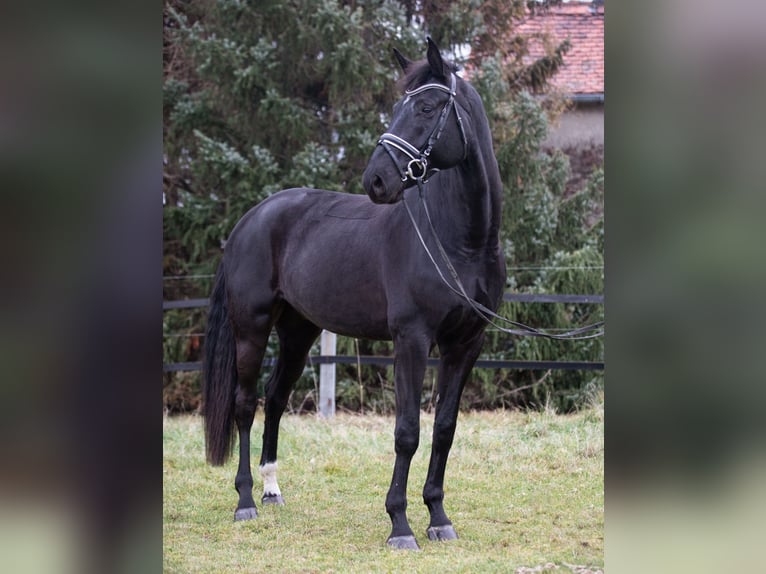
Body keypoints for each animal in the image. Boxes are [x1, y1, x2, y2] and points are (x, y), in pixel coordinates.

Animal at [201, 38, 508, 552]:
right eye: (397, 107)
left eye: (426, 108)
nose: (376, 180)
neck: (459, 241)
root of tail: (252, 218)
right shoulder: (411, 339)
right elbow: (407, 431)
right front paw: (400, 525)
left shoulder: (467, 343)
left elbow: (444, 428)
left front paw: (438, 517)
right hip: (252, 328)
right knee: (245, 404)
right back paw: (244, 501)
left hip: (298, 331)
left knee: (275, 398)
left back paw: (271, 491)